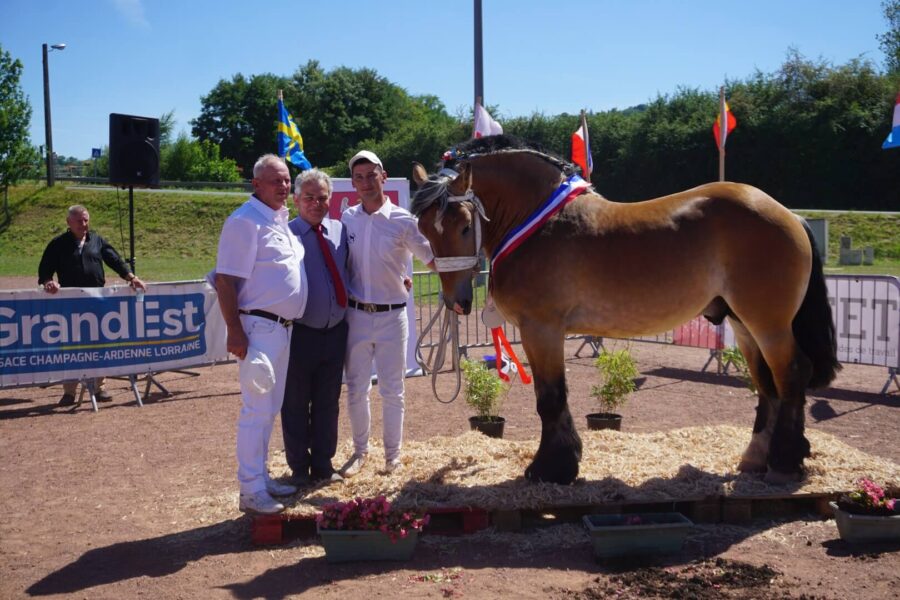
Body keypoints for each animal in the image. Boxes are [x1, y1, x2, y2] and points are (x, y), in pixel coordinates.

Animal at [412, 134, 840, 486]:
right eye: (423, 229)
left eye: (464, 226)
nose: (457, 301)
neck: (538, 222)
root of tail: (789, 215)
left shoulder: (542, 329)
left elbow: (551, 398)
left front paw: (552, 468)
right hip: (743, 324)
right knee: (767, 384)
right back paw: (756, 459)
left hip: (768, 324)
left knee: (791, 374)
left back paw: (785, 461)